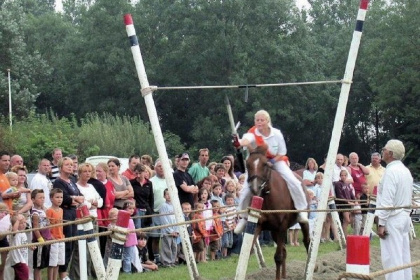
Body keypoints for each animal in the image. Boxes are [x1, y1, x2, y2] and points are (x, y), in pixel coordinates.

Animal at [244, 145, 310, 278]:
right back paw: (284, 275)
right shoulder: (259, 225)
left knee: (306, 242)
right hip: (273, 231)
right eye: (247, 164)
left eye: (265, 164)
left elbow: (278, 257)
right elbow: (249, 251)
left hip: (300, 223)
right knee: (284, 250)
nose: (255, 187)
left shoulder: (281, 227)